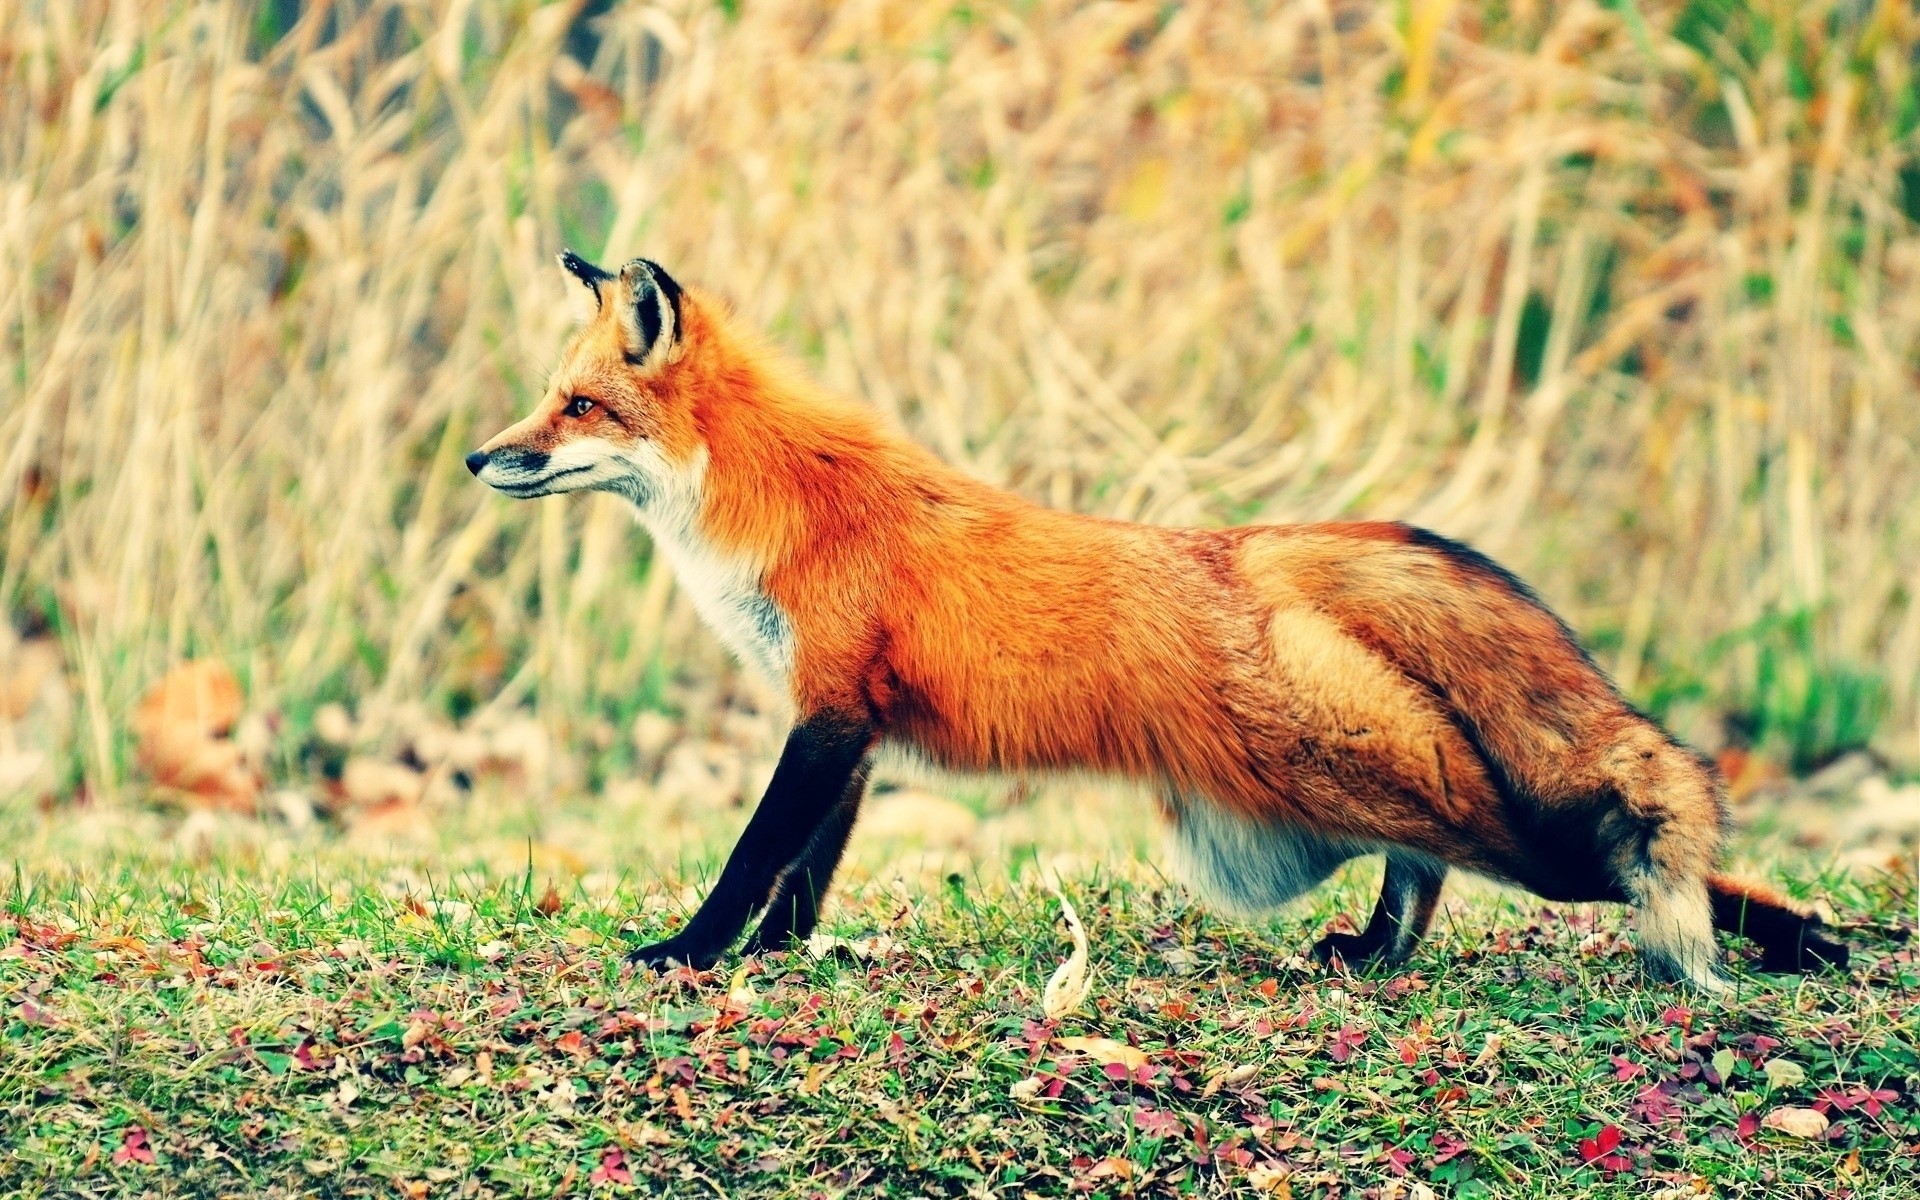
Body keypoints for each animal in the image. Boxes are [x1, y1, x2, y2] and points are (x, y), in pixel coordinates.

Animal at [466, 251, 1849, 991]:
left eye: (578, 406)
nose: (482, 456)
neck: (775, 512)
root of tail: (1255, 551)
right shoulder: (851, 728)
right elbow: (803, 879)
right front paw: (774, 962)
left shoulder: (828, 715)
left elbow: (754, 857)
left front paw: (688, 956)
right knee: (1440, 861)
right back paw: (1381, 954)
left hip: (1338, 781)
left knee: (1582, 853)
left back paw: (1804, 937)